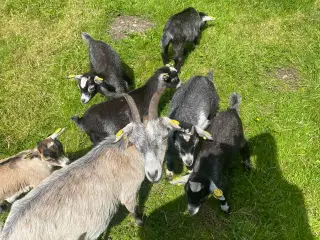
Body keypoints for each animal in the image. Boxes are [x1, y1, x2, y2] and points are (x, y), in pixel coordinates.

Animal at [0, 89, 182, 240]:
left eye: (164, 137)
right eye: (136, 143)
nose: (153, 173)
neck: (125, 153)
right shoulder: (128, 192)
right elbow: (134, 210)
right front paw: (142, 222)